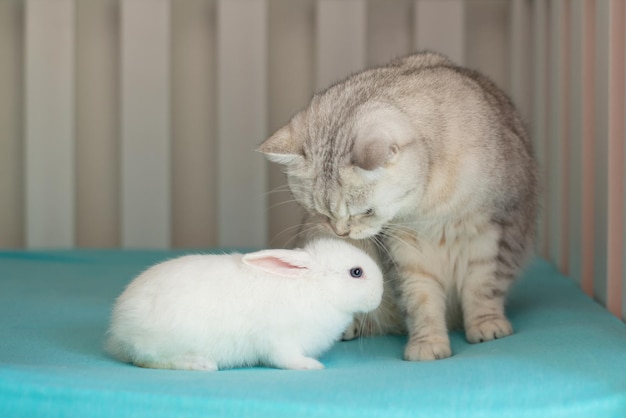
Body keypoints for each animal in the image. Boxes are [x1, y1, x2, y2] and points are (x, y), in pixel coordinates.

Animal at [105, 238, 382, 372]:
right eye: (356, 272)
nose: (379, 295)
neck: (316, 288)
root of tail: (119, 329)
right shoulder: (280, 341)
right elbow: (286, 359)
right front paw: (311, 366)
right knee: (146, 361)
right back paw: (200, 365)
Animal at [258, 51, 536, 360]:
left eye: (366, 212)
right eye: (320, 214)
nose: (342, 232)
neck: (430, 210)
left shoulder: (495, 233)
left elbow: (483, 289)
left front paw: (487, 326)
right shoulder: (403, 251)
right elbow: (421, 303)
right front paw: (427, 345)